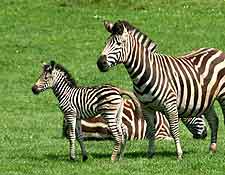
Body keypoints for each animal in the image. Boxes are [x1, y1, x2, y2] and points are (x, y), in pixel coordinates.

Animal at [96, 19, 225, 159]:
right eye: (105, 43)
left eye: (119, 43)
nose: (100, 63)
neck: (146, 72)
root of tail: (216, 50)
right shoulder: (146, 107)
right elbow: (151, 130)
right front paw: (150, 154)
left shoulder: (170, 105)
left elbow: (174, 129)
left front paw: (179, 154)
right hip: (206, 99)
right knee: (214, 120)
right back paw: (212, 149)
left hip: (222, 94)